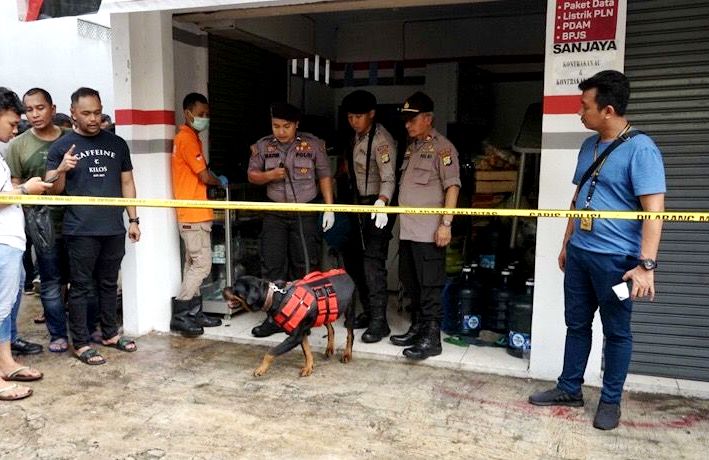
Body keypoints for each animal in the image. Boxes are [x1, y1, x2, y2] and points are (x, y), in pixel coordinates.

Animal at [221, 270, 354, 378]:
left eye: (235, 288)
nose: (222, 289)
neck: (274, 297)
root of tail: (346, 274)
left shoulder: (294, 337)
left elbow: (270, 353)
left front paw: (261, 369)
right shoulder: (301, 333)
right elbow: (307, 352)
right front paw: (308, 367)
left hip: (348, 313)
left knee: (350, 334)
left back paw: (347, 354)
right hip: (326, 311)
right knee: (331, 327)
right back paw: (330, 348)